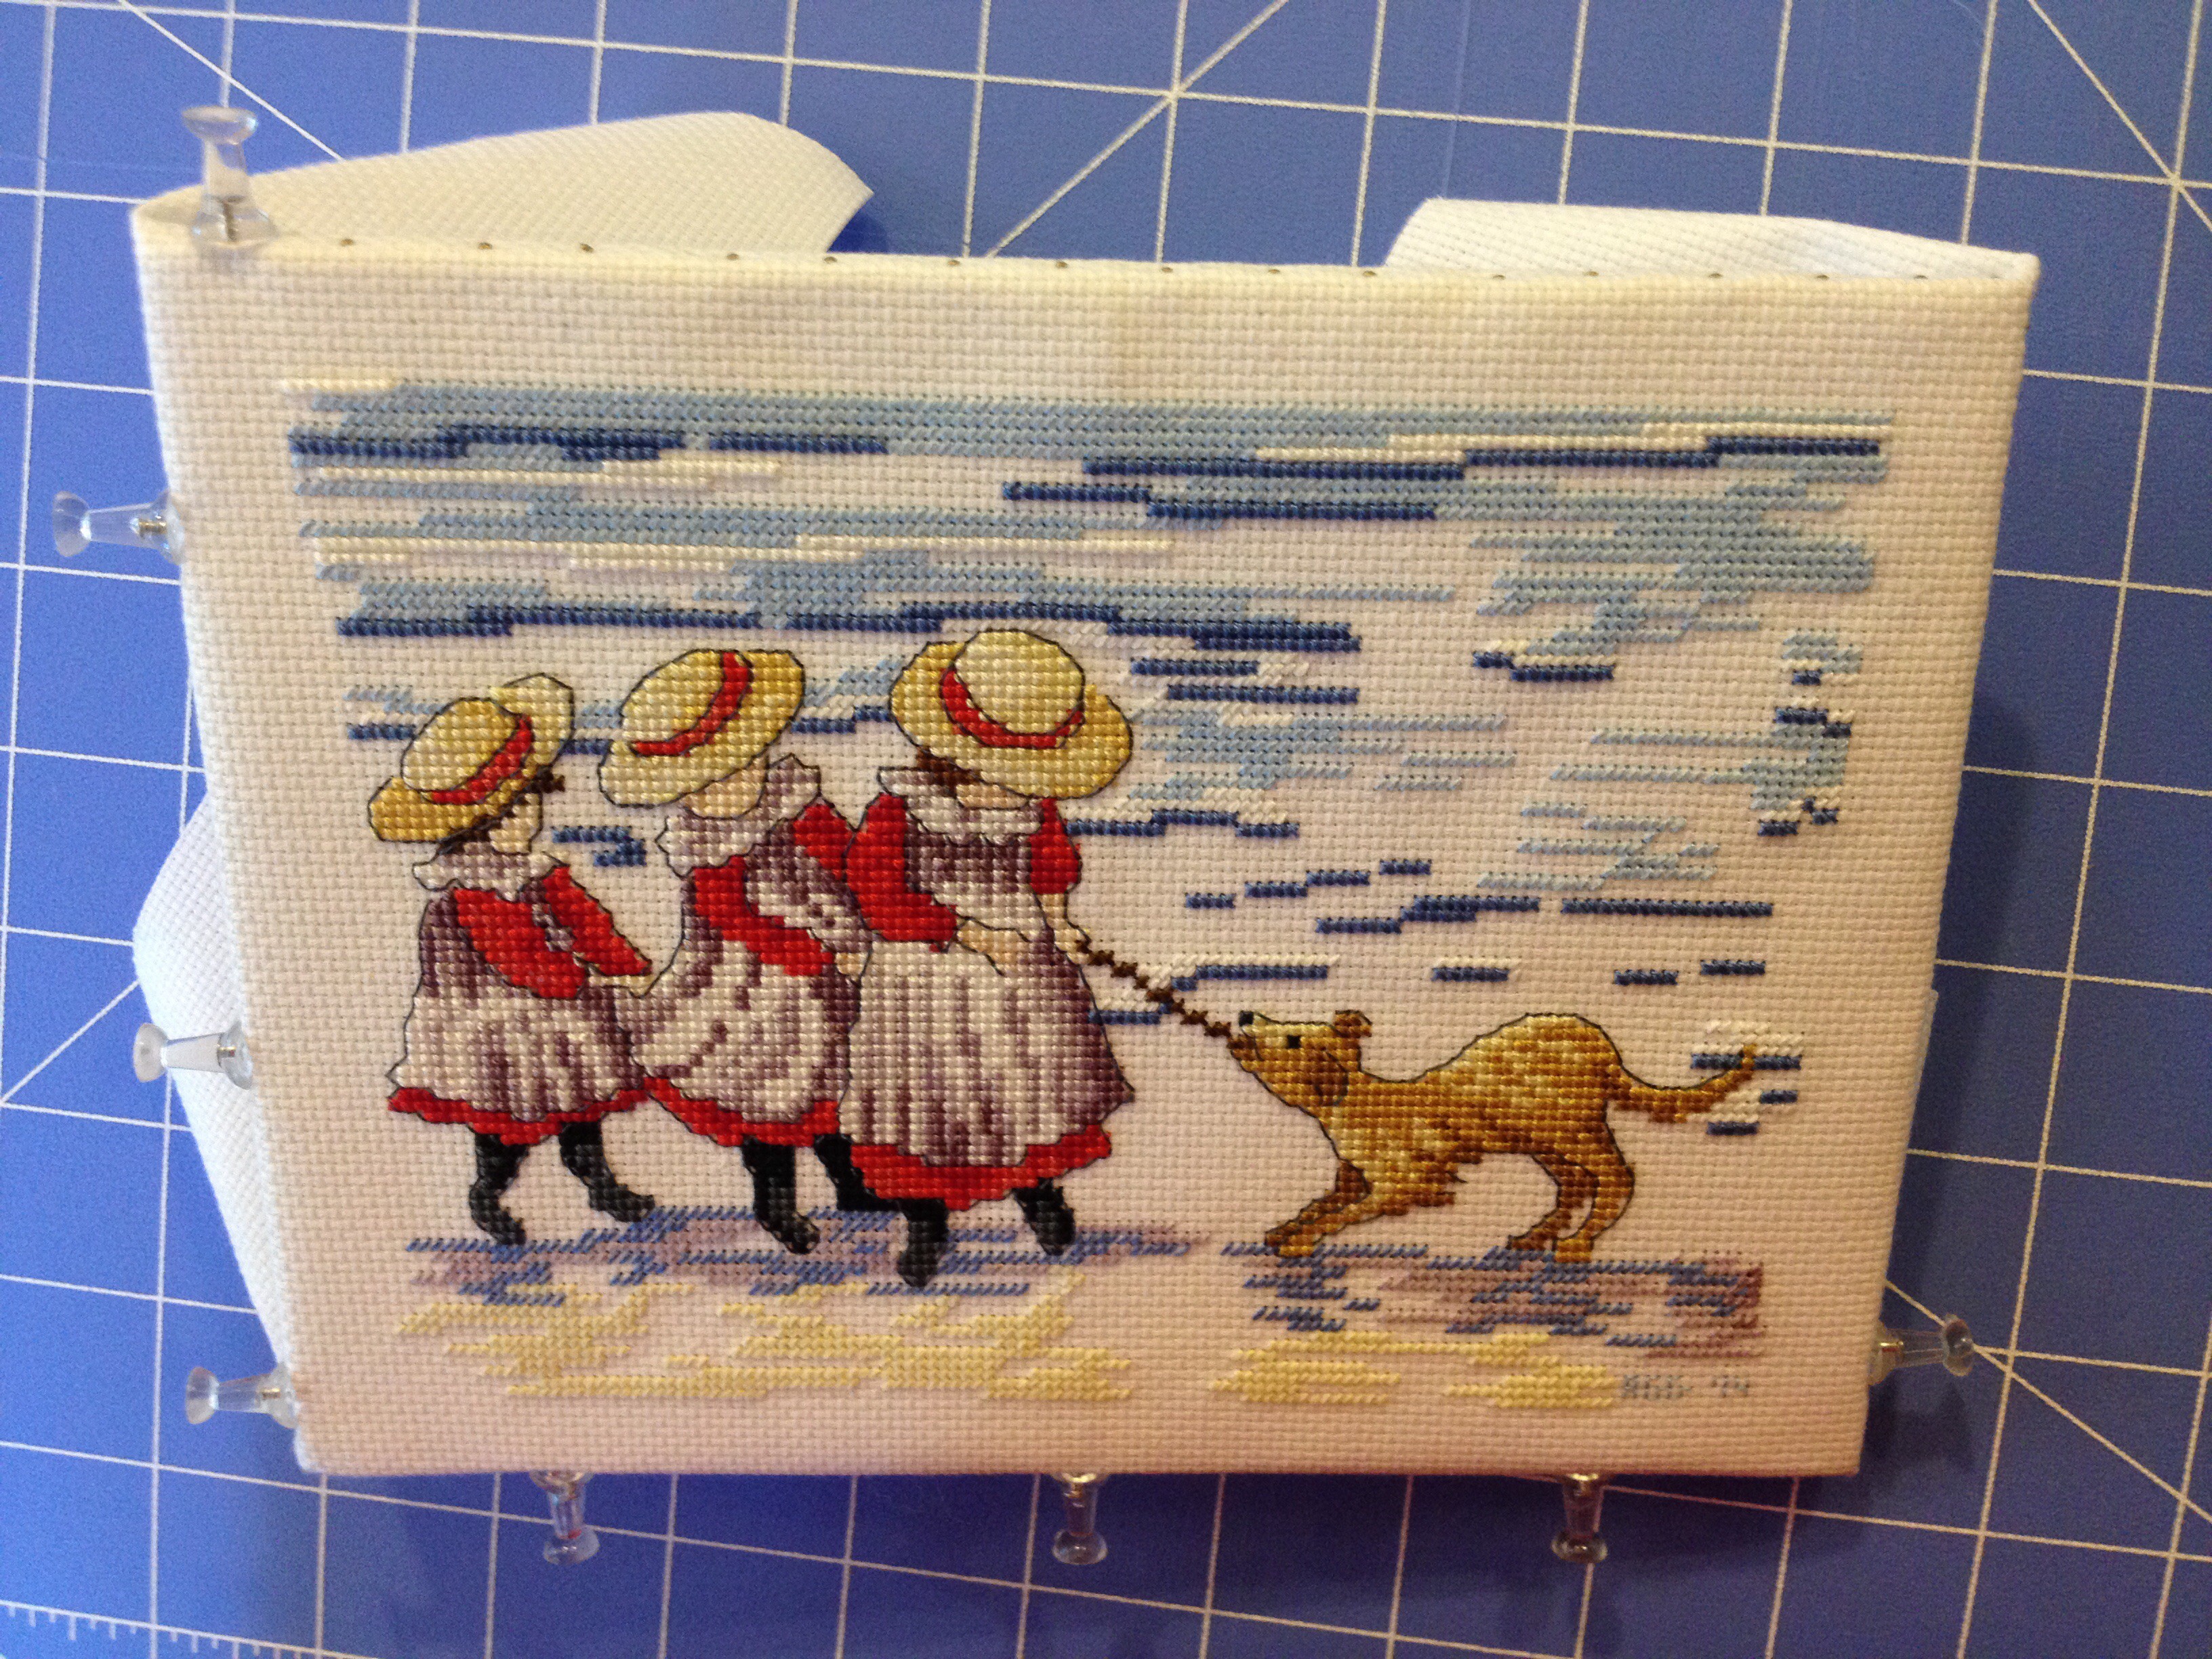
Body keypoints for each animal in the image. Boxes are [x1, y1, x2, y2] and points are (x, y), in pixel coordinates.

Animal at [1227, 1011, 1757, 1260]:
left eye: (1293, 1038)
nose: (1247, 1016)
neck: (1353, 1104)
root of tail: (1603, 1046)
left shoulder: (1402, 1183)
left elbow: (1345, 1214)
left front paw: (1301, 1241)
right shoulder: (1353, 1176)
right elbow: (1323, 1204)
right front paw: (1285, 1229)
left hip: (1574, 1129)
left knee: (1617, 1178)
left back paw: (1578, 1244)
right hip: (1540, 1138)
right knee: (1576, 1184)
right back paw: (1534, 1237)